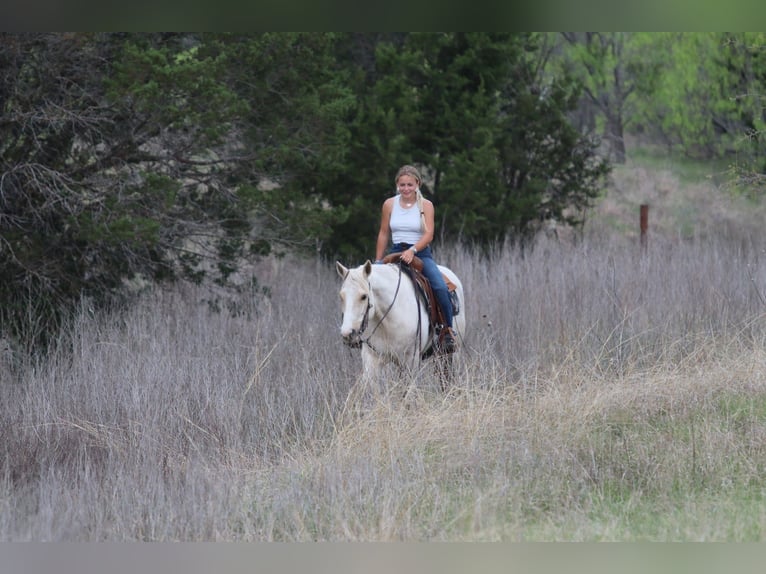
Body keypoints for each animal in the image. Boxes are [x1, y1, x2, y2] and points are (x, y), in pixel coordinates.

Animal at [335, 259, 466, 389]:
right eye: (341, 296)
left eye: (363, 296)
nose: (347, 334)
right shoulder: (371, 359)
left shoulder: (410, 361)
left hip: (453, 352)